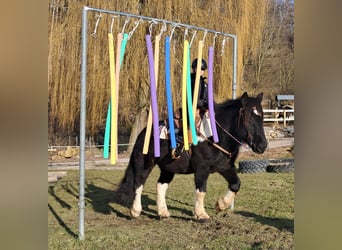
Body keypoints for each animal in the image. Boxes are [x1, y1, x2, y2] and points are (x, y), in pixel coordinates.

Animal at [115, 91, 268, 221]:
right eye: (249, 117)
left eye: (261, 117)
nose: (263, 145)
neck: (215, 134)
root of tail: (143, 133)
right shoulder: (202, 169)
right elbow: (201, 190)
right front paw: (201, 214)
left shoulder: (225, 167)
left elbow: (235, 184)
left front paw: (221, 205)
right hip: (144, 164)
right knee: (138, 183)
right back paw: (135, 211)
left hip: (168, 169)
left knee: (160, 186)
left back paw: (163, 212)